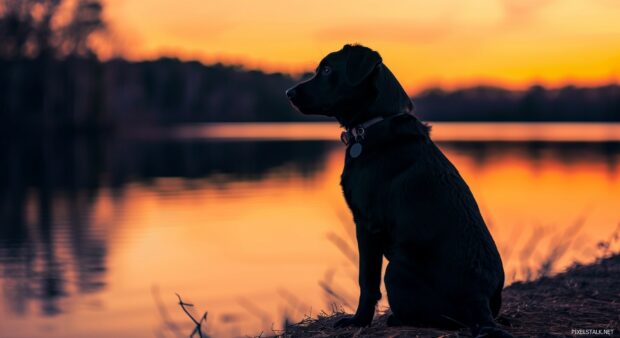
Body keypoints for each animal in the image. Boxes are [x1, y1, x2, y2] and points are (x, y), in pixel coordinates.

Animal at [288, 45, 512, 338]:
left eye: (326, 69)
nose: (288, 93)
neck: (373, 124)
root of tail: (479, 300)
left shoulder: (367, 224)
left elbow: (366, 281)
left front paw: (358, 321)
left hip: (395, 270)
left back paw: (396, 319)